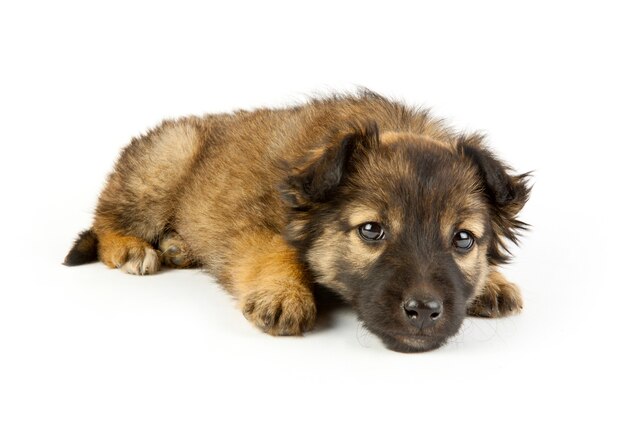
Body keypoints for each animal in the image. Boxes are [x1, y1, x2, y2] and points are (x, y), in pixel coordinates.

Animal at [66, 90, 528, 352]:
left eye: (463, 239)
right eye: (372, 230)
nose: (424, 311)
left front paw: (492, 282)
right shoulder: (251, 226)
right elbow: (277, 249)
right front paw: (284, 292)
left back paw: (178, 247)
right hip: (167, 160)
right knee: (106, 219)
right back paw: (132, 248)